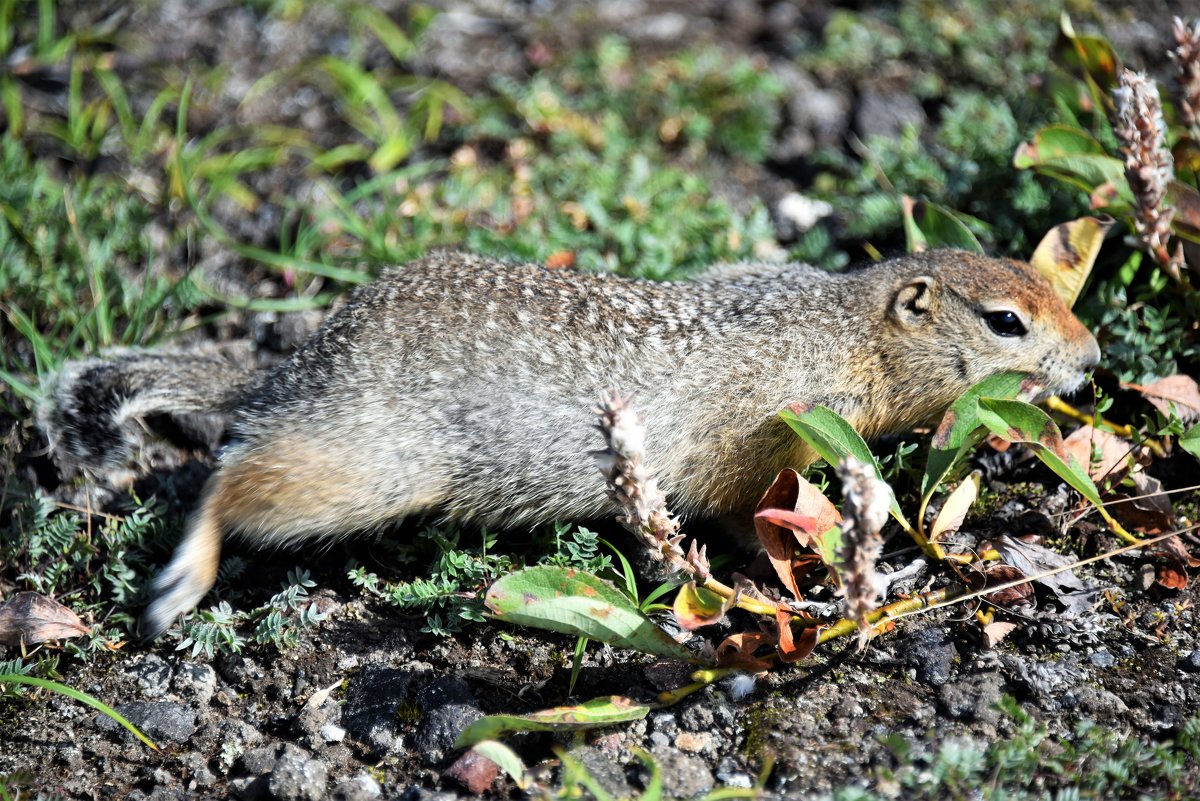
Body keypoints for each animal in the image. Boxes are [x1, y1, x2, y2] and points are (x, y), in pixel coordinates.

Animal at [42, 250, 1099, 637]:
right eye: (1007, 320)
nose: (1091, 359)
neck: (844, 328)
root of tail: (301, 367)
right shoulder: (768, 445)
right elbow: (748, 521)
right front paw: (791, 577)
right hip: (360, 466)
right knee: (228, 484)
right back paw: (182, 578)